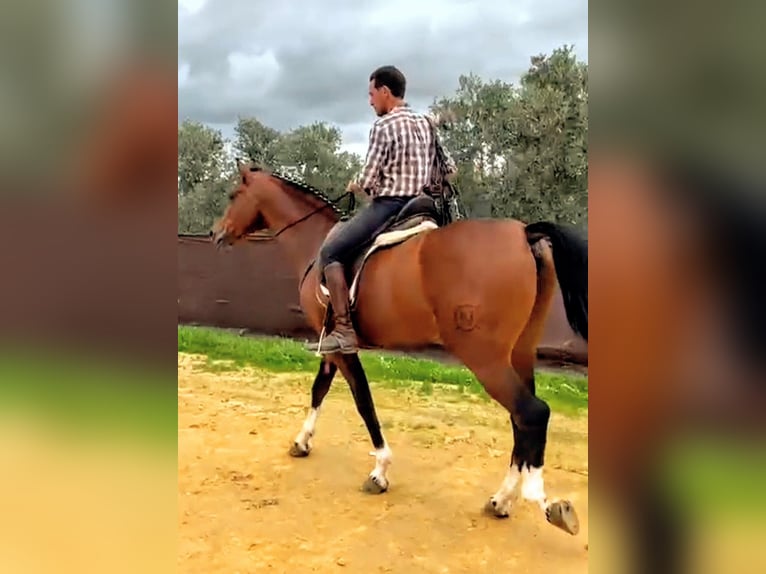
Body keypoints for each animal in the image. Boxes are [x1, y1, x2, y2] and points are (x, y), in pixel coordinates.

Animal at [211, 160, 588, 536]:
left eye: (233, 194)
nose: (216, 233)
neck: (315, 243)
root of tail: (524, 235)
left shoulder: (342, 347)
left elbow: (363, 402)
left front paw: (380, 470)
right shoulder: (329, 341)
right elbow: (319, 389)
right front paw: (302, 442)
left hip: (485, 359)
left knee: (532, 413)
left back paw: (542, 501)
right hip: (518, 354)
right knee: (520, 420)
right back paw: (502, 499)